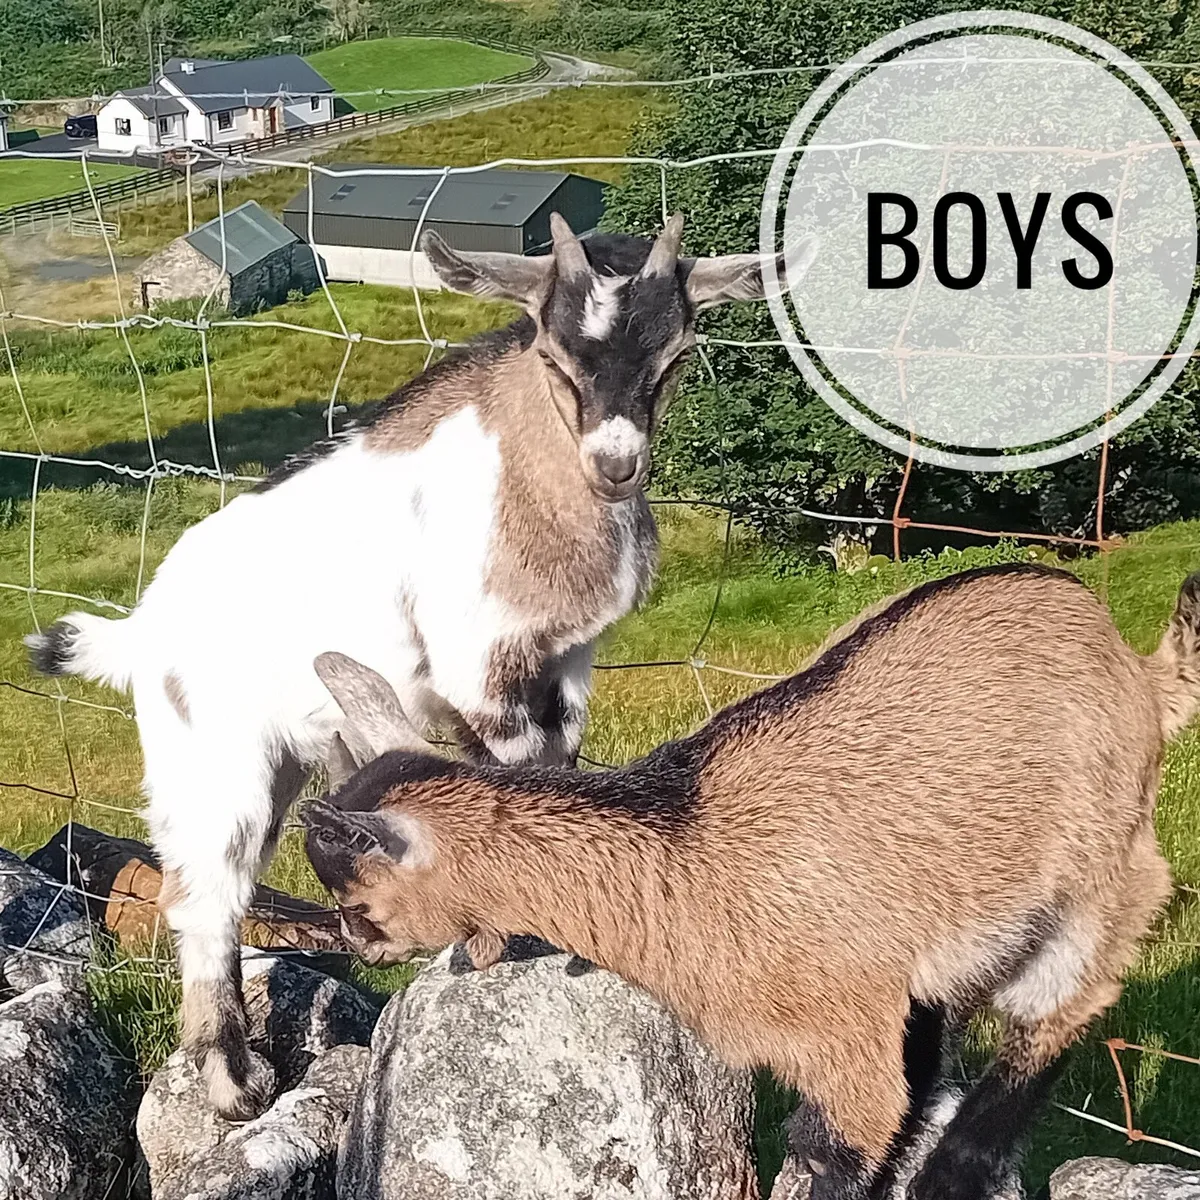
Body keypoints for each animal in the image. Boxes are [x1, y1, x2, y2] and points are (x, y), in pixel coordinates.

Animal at [24, 213, 817, 1120]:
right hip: (208, 758)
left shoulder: (566, 659)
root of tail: (142, 627)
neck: (526, 472)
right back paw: (234, 1086)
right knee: (204, 898)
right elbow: (516, 775)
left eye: (679, 352)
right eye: (553, 353)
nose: (616, 466)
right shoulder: (478, 662)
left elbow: (557, 768)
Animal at [302, 563, 1196, 1200]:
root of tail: (1137, 667)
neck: (681, 854)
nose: (353, 945)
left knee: (1065, 1005)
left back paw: (956, 1172)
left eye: (357, 903)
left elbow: (838, 1150)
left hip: (1104, 871)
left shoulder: (842, 1038)